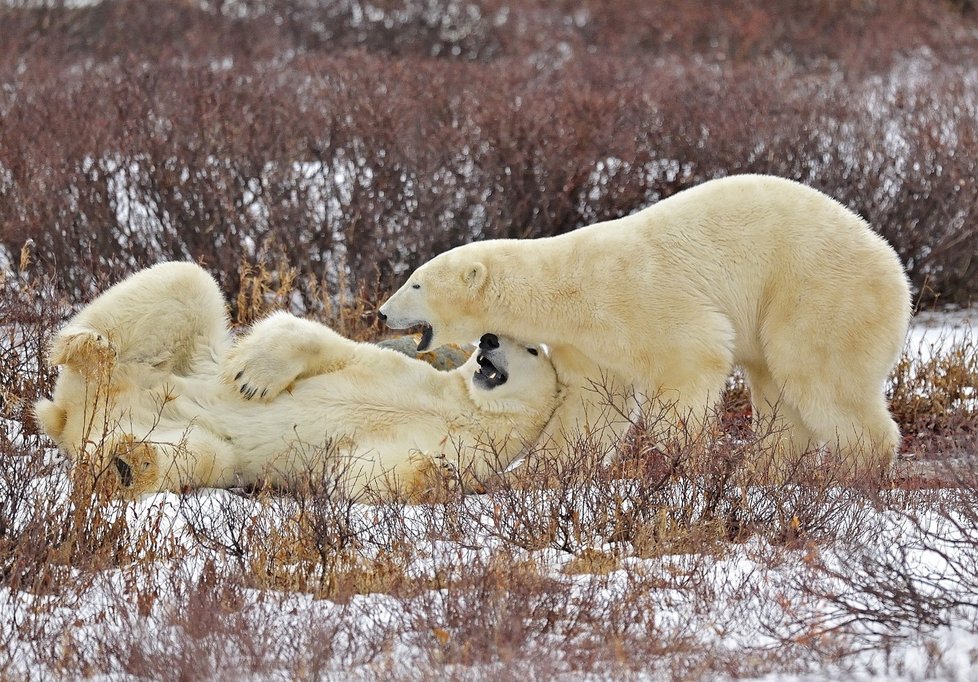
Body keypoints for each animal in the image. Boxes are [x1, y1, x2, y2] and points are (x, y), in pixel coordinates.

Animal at [34, 260, 560, 500]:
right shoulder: (400, 369)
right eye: (496, 336)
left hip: (176, 436)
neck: (465, 407)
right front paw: (253, 379)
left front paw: (435, 475)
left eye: (532, 348)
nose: (488, 339)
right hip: (158, 364)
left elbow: (367, 470)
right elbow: (326, 344)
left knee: (198, 455)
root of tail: (68, 417)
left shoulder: (469, 447)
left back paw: (126, 463)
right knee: (183, 280)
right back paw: (85, 348)